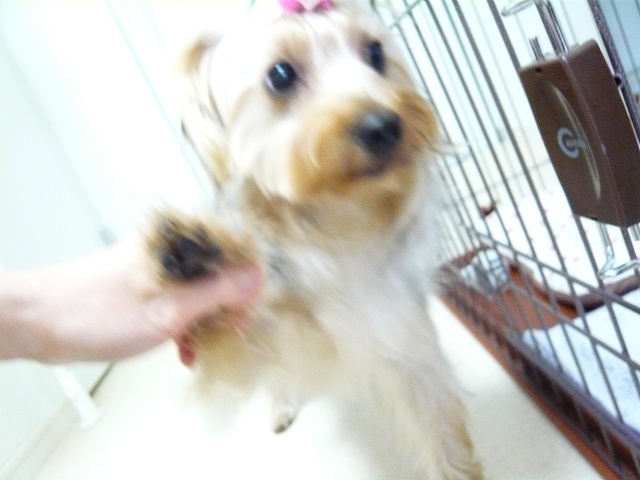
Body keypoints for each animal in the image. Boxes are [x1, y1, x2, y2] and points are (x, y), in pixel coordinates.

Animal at [145, 1, 483, 478]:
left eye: (375, 53)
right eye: (281, 74)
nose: (383, 124)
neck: (338, 220)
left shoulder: (402, 335)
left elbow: (441, 429)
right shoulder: (265, 326)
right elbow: (233, 332)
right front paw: (196, 257)